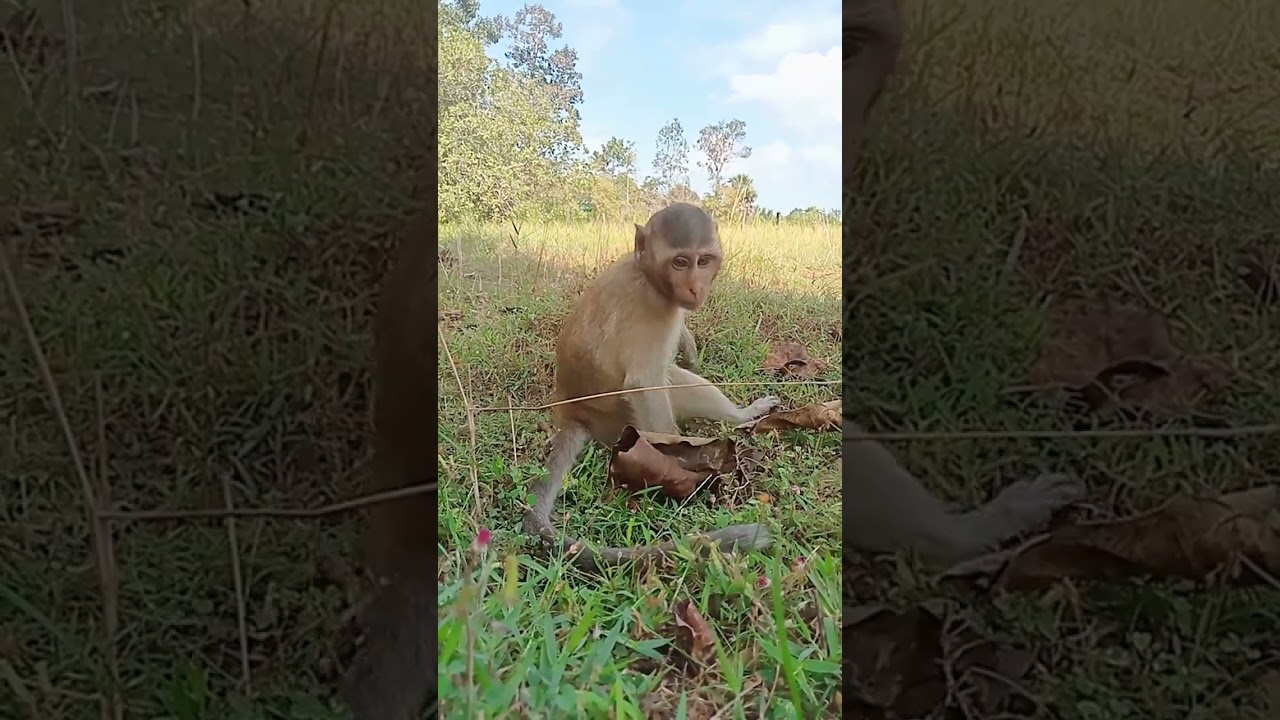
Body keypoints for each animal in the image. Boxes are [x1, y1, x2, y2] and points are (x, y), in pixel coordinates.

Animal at [522, 202, 780, 572]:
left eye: (704, 260)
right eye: (680, 262)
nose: (696, 288)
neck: (646, 275)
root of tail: (572, 412)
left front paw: (689, 345)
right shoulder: (651, 312)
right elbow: (644, 384)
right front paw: (678, 464)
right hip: (617, 421)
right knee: (673, 381)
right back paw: (741, 416)